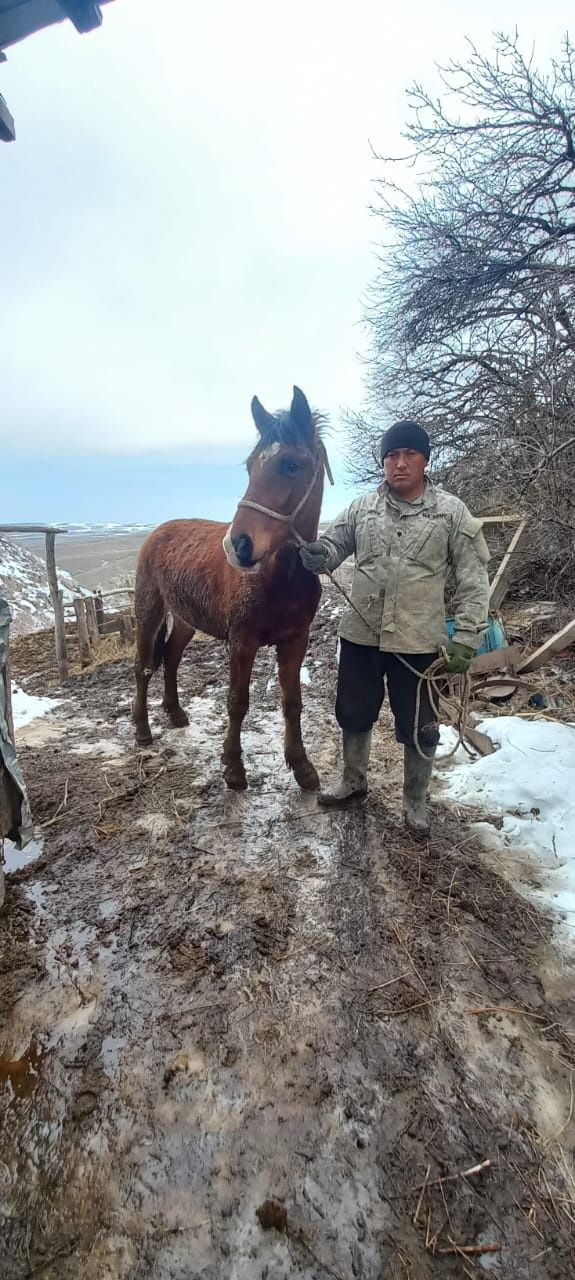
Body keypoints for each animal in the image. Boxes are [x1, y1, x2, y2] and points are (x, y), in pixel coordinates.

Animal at [129, 386, 327, 788]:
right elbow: (237, 702)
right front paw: (233, 767)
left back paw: (175, 713)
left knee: (171, 659)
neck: (279, 577)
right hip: (149, 612)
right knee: (143, 667)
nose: (238, 545)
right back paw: (142, 729)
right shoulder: (242, 642)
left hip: (185, 620)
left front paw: (301, 765)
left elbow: (292, 702)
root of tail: (158, 531)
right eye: (251, 467)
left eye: (291, 465)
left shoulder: (295, 640)